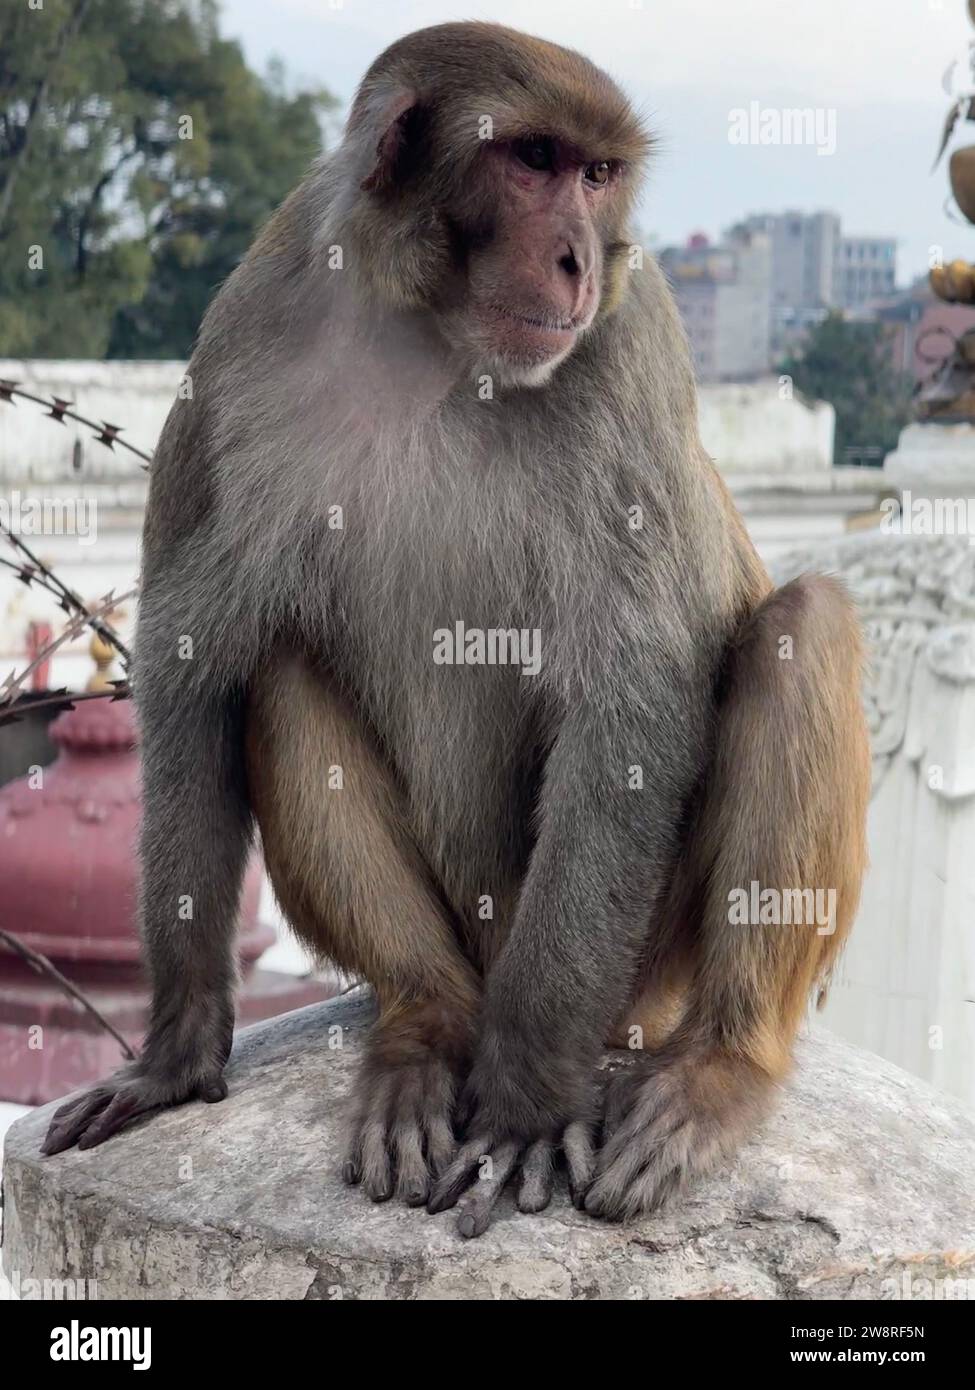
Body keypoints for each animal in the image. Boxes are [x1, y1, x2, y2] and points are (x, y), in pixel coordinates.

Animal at [42, 22, 870, 1238]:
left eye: (597, 173)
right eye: (532, 161)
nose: (579, 256)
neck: (433, 337)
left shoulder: (630, 339)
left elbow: (634, 700)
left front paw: (522, 1111)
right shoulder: (238, 344)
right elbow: (197, 667)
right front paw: (177, 1050)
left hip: (637, 962)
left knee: (801, 626)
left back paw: (719, 1068)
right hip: (475, 934)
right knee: (278, 668)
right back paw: (424, 1020)